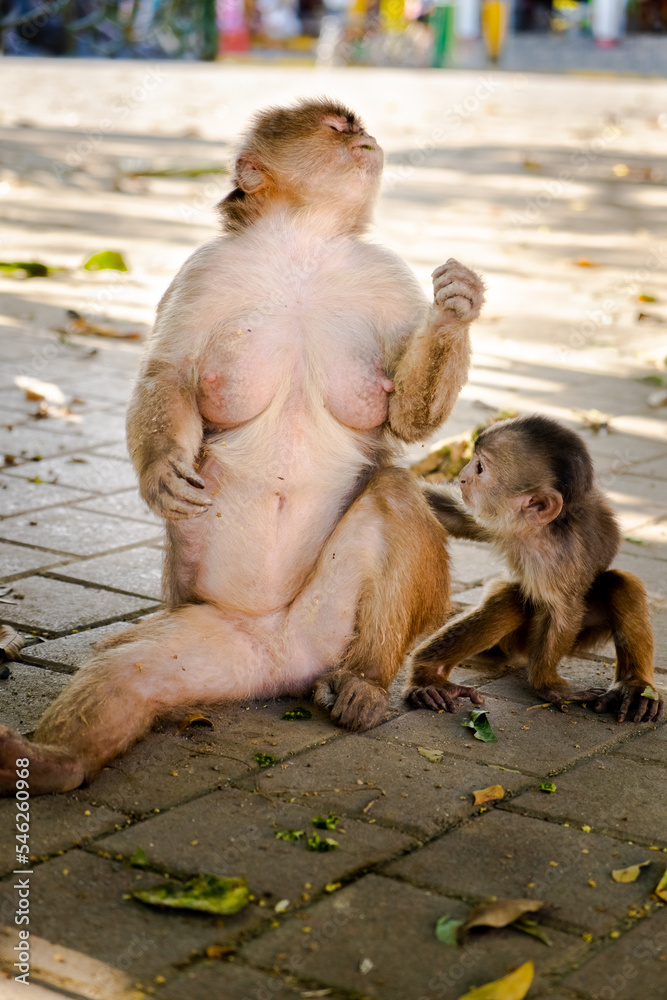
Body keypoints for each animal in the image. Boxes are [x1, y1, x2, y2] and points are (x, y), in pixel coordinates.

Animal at [0, 98, 485, 795]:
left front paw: (453, 312)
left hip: (327, 625)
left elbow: (407, 419)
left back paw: (364, 680)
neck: (304, 243)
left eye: (356, 127)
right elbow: (169, 373)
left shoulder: (388, 277)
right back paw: (53, 762)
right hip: (214, 637)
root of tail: (280, 662)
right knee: (130, 671)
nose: (366, 139)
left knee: (394, 492)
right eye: (338, 128)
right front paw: (160, 473)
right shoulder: (205, 270)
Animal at [408, 414, 663, 725]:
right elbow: (452, 516)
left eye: (480, 467)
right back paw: (429, 676)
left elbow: (561, 609)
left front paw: (547, 684)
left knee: (617, 584)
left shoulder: (559, 555)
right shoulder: (503, 522)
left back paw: (636, 687)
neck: (537, 531)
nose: (462, 477)